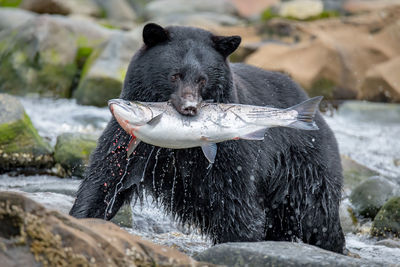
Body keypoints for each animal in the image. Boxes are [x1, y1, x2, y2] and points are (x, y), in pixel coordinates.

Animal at [70, 22, 346, 253]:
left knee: (317, 216)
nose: (190, 107)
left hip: (305, 167)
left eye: (203, 79)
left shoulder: (230, 154)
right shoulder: (131, 142)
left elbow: (235, 203)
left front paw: (239, 243)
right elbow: (105, 180)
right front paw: (83, 218)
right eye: (174, 75)